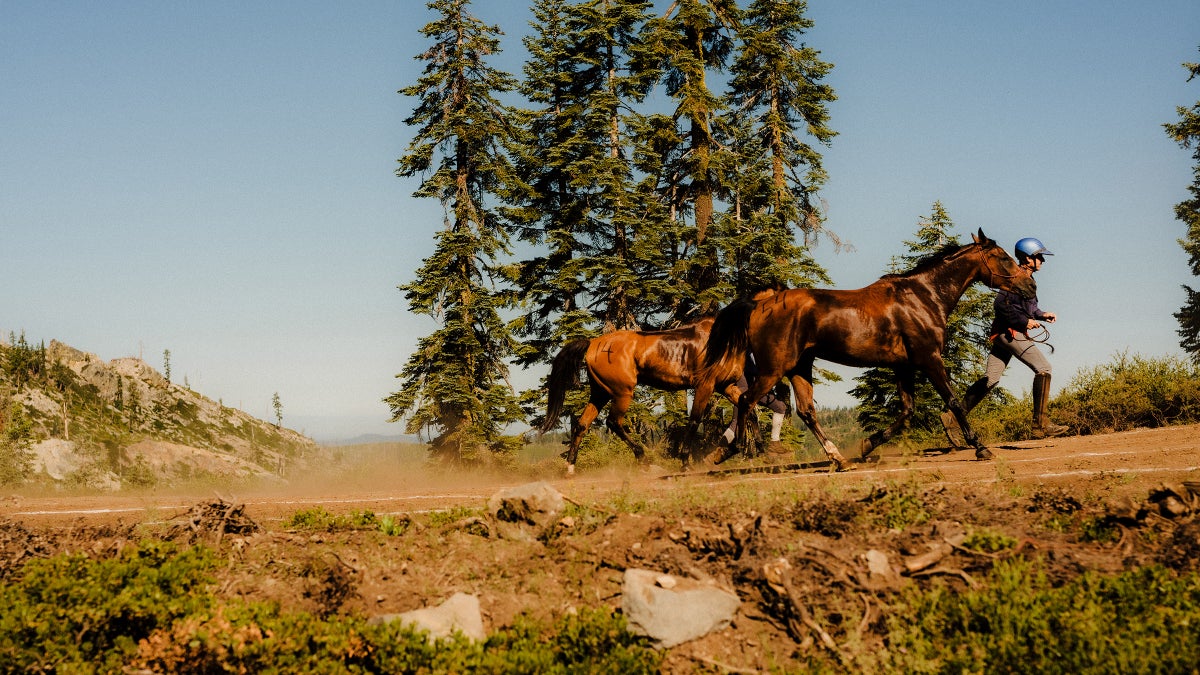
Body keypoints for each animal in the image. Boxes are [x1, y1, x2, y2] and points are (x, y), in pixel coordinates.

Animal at [542, 317, 748, 475]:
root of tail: (593, 343)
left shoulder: (726, 386)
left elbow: (746, 408)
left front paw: (727, 451)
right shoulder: (705, 386)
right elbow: (694, 422)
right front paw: (685, 463)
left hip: (600, 394)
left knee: (582, 425)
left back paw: (570, 467)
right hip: (622, 393)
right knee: (613, 422)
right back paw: (644, 460)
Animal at [691, 228, 1036, 470]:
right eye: (1003, 257)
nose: (1030, 286)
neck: (924, 297)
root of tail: (758, 305)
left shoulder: (904, 366)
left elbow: (907, 412)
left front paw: (868, 445)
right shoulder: (929, 359)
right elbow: (952, 402)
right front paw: (980, 447)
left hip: (800, 367)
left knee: (805, 411)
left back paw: (839, 459)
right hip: (774, 369)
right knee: (747, 402)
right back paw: (746, 452)